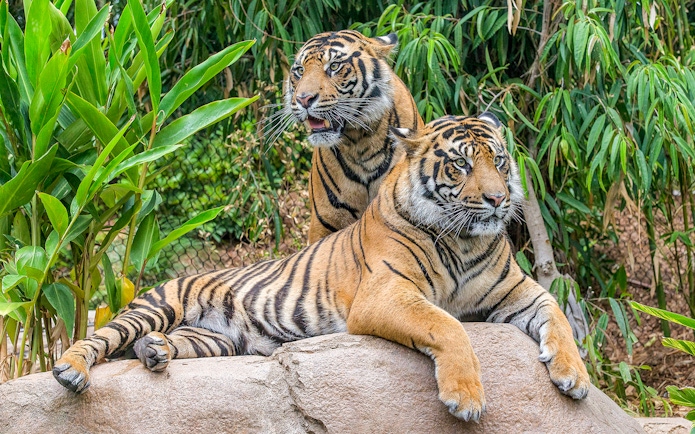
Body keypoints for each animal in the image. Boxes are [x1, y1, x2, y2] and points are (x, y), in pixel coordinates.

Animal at [54, 113, 589, 422]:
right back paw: (71, 371)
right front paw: (466, 398)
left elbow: (558, 316)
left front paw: (575, 378)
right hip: (155, 306)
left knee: (167, 345)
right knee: (99, 339)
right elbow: (448, 325)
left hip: (217, 339)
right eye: (460, 165)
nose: (499, 200)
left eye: (499, 161)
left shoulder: (518, 291)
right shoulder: (387, 293)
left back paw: (155, 353)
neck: (462, 239)